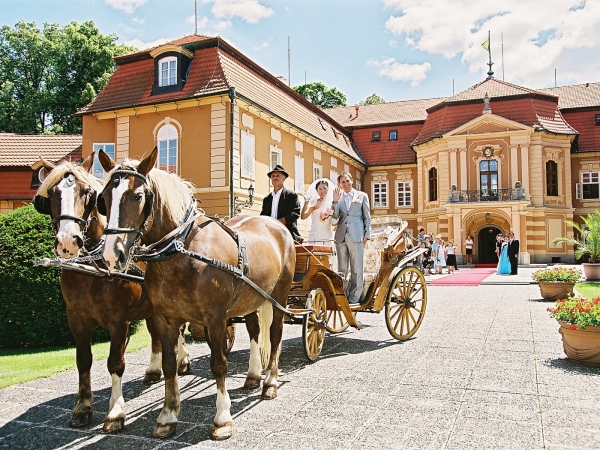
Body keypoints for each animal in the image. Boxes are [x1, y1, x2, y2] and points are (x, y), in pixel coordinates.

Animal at [33, 154, 192, 432]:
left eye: (87, 193)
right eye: (51, 194)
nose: (67, 242)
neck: (90, 269)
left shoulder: (119, 320)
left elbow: (115, 362)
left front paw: (115, 412)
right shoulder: (75, 318)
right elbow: (83, 360)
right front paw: (83, 407)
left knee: (179, 329)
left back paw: (181, 360)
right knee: (155, 334)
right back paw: (154, 369)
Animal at [97, 148, 296, 440]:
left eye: (138, 196)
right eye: (103, 199)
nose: (113, 255)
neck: (182, 249)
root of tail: (275, 225)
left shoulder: (215, 319)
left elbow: (219, 364)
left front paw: (222, 418)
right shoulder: (165, 319)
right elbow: (169, 365)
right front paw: (167, 416)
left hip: (279, 296)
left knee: (275, 333)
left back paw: (270, 381)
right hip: (252, 298)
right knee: (255, 332)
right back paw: (252, 375)